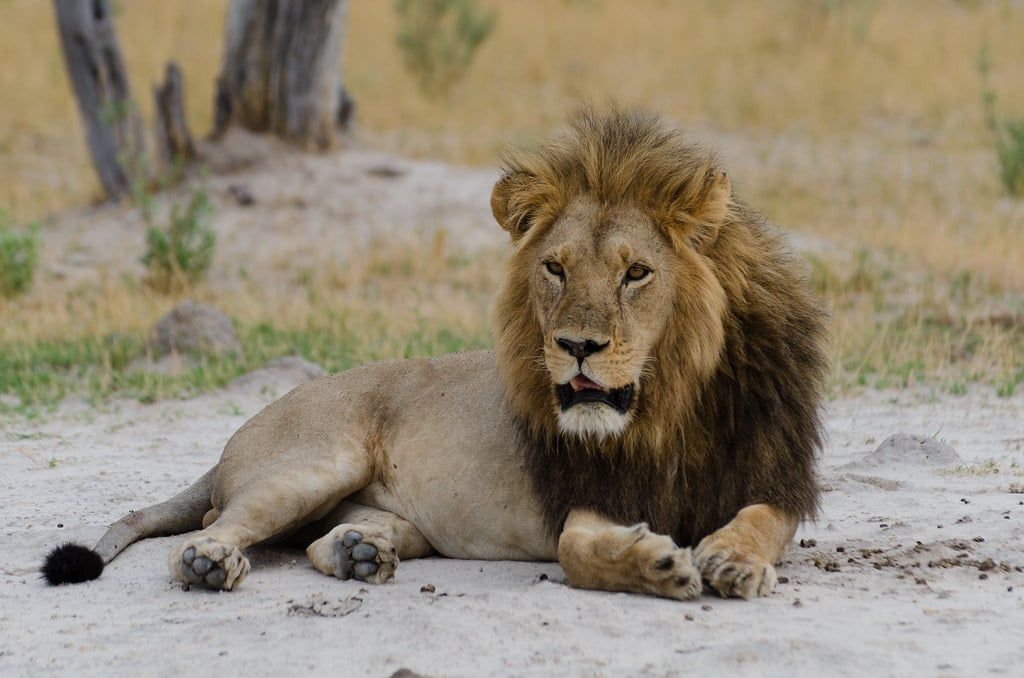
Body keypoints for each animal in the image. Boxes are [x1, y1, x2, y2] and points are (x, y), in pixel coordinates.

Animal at [43, 107, 828, 601]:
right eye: (556, 269)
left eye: (637, 273)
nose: (576, 347)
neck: (670, 407)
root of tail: (246, 427)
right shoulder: (587, 497)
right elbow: (578, 552)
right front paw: (660, 565)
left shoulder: (777, 481)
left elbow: (760, 522)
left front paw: (730, 559)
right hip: (313, 463)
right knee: (216, 525)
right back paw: (213, 563)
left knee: (314, 541)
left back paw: (360, 553)